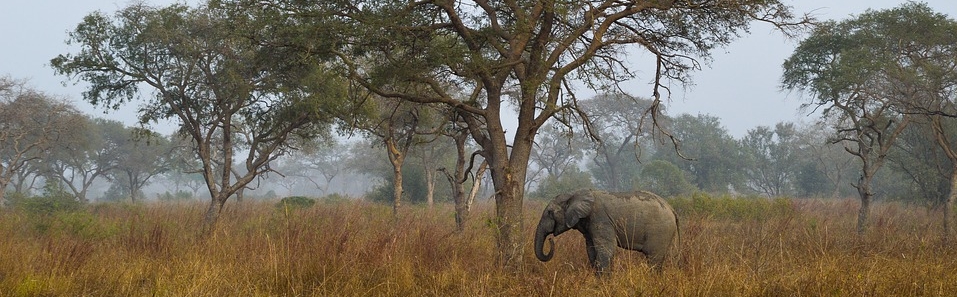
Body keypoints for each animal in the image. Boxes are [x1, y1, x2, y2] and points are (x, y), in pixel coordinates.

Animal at [532, 187, 680, 272]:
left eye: (550, 213)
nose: (550, 239)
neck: (575, 193)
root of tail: (672, 209)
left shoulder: (601, 219)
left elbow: (606, 249)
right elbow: (591, 250)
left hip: (660, 231)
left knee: (654, 259)